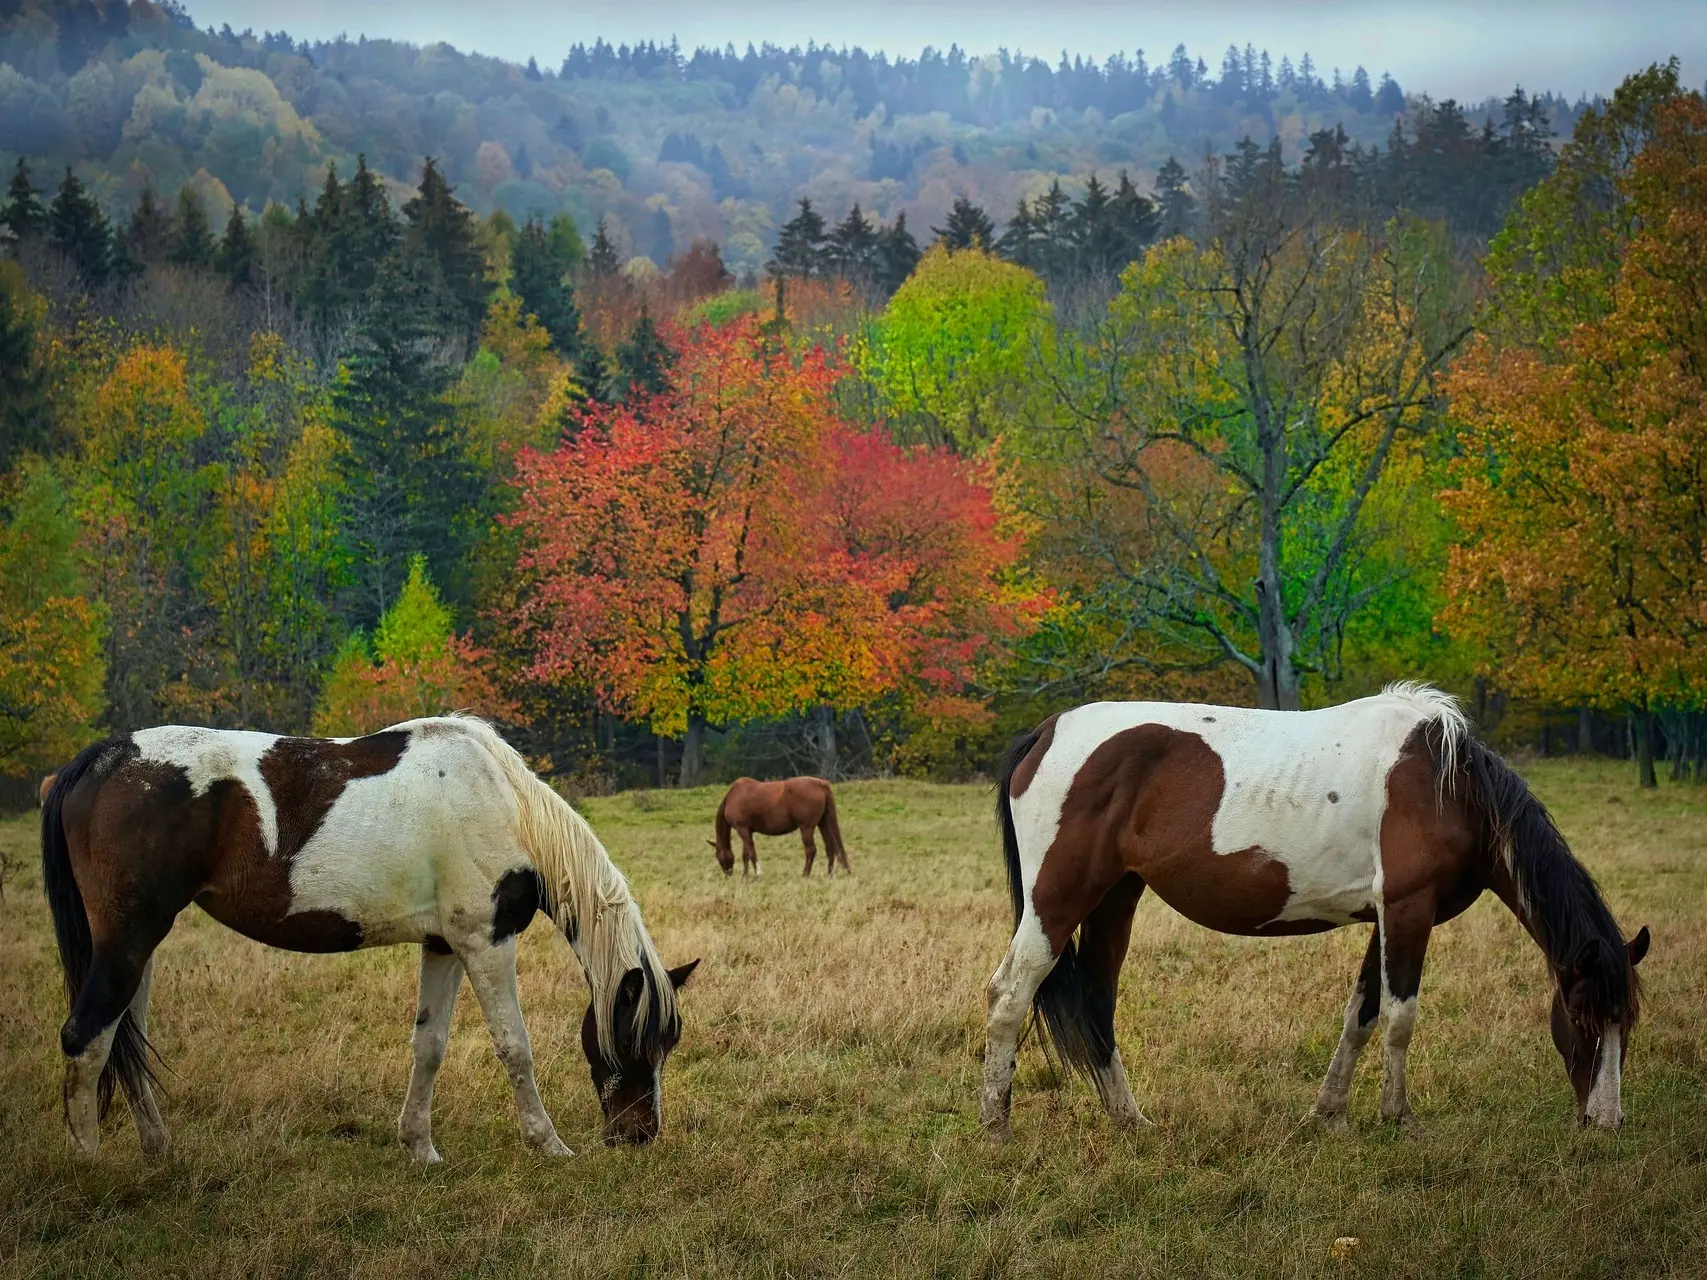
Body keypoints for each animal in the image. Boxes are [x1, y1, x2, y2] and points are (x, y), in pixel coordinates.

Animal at [45, 716, 699, 1167]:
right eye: (638, 1041)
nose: (641, 1136)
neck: (505, 804)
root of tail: (100, 760)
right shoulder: (486, 942)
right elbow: (516, 1046)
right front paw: (549, 1145)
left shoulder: (444, 945)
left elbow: (429, 1046)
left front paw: (420, 1148)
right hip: (128, 939)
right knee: (86, 1037)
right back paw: (90, 1167)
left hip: (139, 948)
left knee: (125, 1039)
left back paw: (159, 1152)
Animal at [710, 778, 850, 880]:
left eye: (717, 855)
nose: (727, 874)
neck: (733, 796)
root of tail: (820, 783)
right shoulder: (747, 831)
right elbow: (746, 854)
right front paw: (745, 875)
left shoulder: (742, 828)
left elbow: (751, 852)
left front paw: (758, 873)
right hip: (823, 823)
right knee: (830, 848)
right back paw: (829, 874)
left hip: (806, 828)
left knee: (811, 850)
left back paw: (805, 874)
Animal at [983, 686, 1645, 1146]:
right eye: (1580, 1019)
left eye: (1626, 1022)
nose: (1606, 1123)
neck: (1446, 787)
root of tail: (1046, 732)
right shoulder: (1408, 909)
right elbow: (1399, 1018)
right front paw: (1399, 1119)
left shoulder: (1386, 918)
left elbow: (1362, 1015)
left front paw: (1330, 1115)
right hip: (1058, 900)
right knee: (1009, 994)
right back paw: (996, 1127)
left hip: (1116, 896)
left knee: (1097, 1002)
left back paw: (1129, 1120)